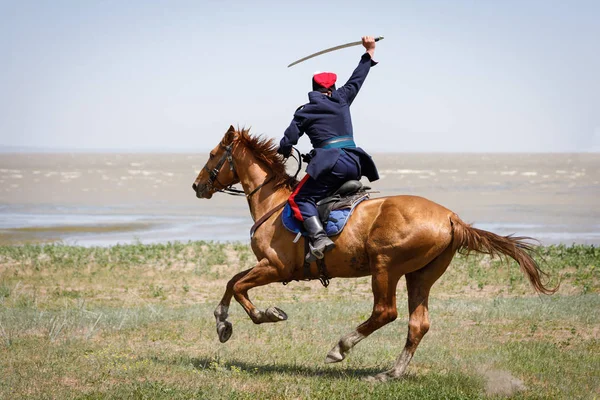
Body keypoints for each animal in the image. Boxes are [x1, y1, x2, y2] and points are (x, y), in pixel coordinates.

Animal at [193, 125, 556, 382]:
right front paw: (223, 323)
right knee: (417, 324)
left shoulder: (276, 267)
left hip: (386, 268)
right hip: (420, 275)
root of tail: (451, 218)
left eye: (212, 154)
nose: (197, 186)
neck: (274, 202)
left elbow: (239, 286)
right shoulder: (267, 266)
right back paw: (390, 373)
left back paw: (340, 347)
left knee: (386, 312)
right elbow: (232, 283)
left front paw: (263, 315)